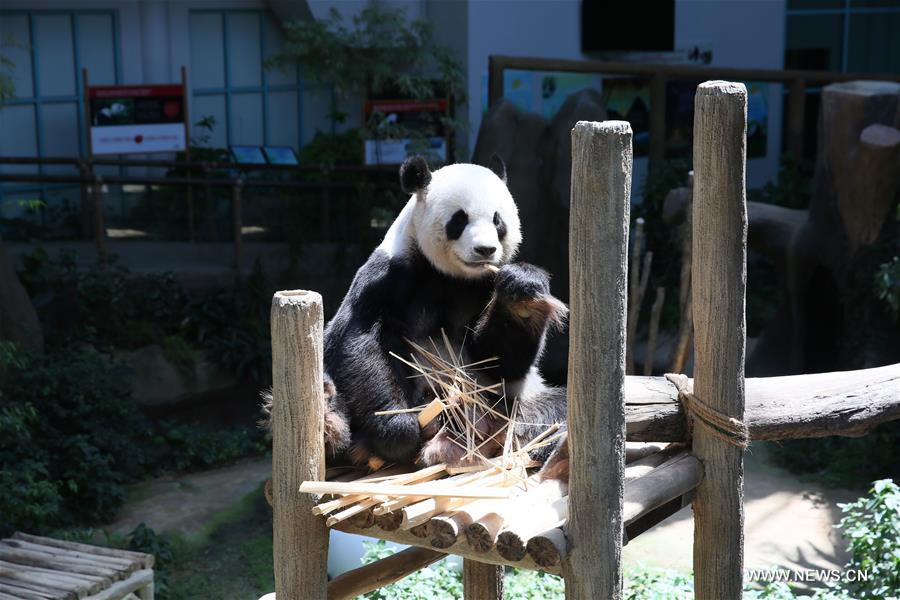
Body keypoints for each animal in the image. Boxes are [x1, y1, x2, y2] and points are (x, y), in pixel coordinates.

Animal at [312, 157, 564, 472]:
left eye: (497, 220)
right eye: (460, 219)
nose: (485, 249)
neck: (452, 277)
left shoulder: (482, 287)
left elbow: (497, 360)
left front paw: (522, 295)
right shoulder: (389, 276)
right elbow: (361, 342)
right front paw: (398, 428)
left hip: (514, 401)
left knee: (552, 414)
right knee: (334, 398)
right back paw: (334, 421)